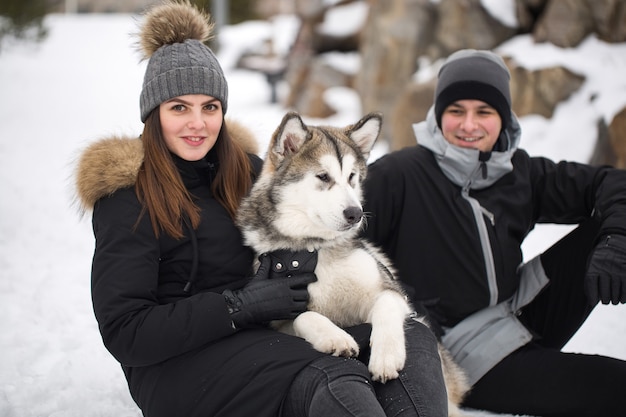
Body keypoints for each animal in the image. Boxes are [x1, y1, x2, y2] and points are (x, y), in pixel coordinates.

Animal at [236, 112, 466, 414]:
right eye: (323, 177)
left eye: (352, 177)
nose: (356, 214)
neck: (316, 248)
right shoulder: (279, 319)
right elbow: (306, 316)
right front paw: (335, 338)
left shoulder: (390, 289)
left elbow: (386, 306)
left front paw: (386, 356)